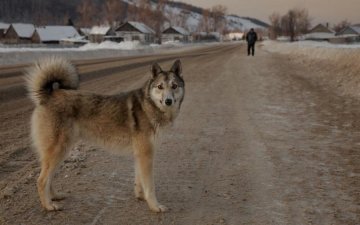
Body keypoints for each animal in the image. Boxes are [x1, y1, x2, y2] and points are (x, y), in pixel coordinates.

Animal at [26, 57, 186, 212]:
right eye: (160, 87)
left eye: (174, 86)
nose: (168, 101)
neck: (149, 106)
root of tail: (49, 95)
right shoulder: (146, 155)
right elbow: (150, 186)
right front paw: (154, 206)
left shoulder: (140, 155)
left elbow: (139, 181)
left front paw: (141, 197)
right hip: (59, 150)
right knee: (41, 180)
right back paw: (48, 206)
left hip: (61, 152)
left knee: (49, 178)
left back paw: (54, 197)